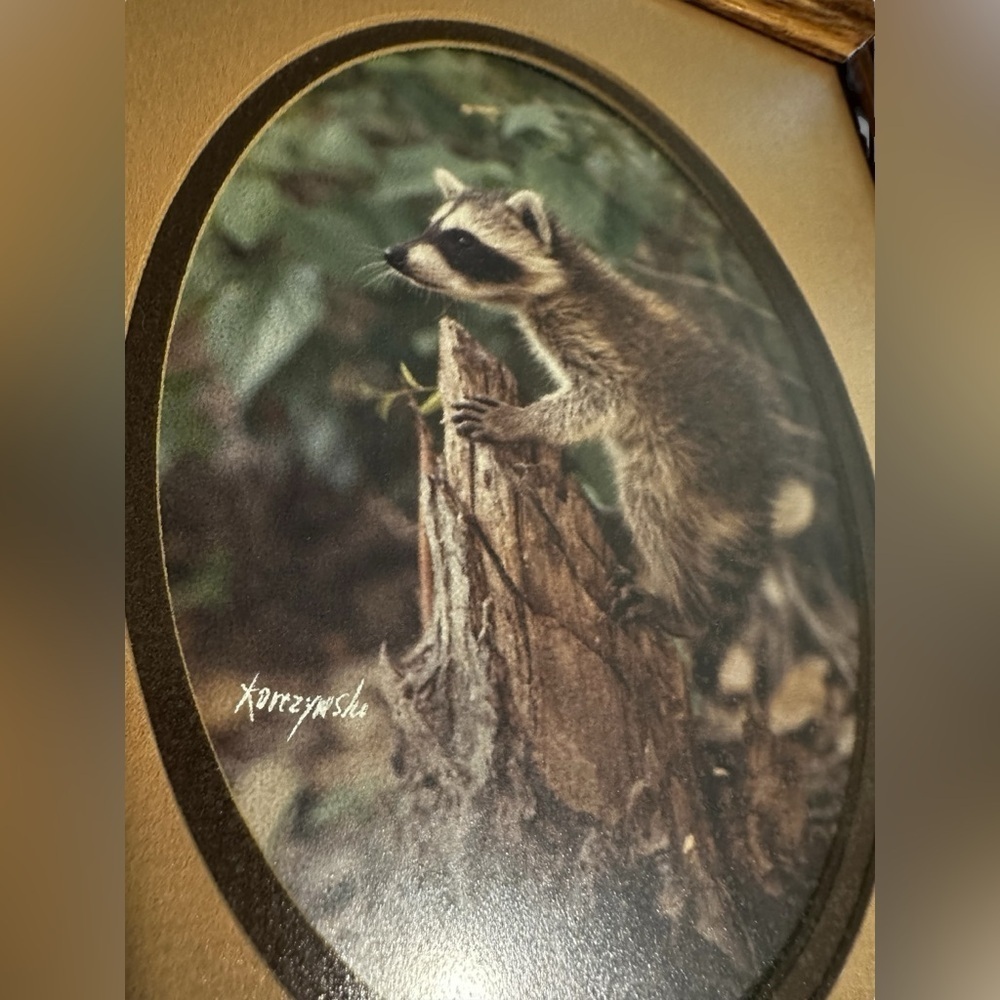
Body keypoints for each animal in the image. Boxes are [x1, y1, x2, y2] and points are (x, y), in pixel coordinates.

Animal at [385, 168, 799, 683]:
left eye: (460, 240)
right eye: (431, 227)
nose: (394, 253)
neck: (562, 276)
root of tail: (759, 483)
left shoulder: (600, 342)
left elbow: (604, 398)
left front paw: (519, 420)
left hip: (690, 460)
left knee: (654, 507)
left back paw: (686, 607)